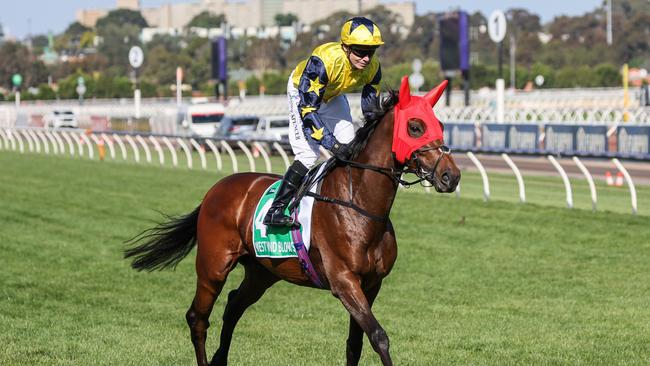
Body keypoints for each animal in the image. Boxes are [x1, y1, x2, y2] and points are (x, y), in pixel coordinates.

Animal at [125, 76, 460, 364]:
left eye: (440, 124)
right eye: (415, 126)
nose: (451, 176)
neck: (359, 204)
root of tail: (216, 189)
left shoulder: (371, 284)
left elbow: (356, 343)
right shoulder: (344, 281)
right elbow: (379, 336)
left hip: (262, 271)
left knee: (233, 306)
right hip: (213, 265)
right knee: (197, 317)